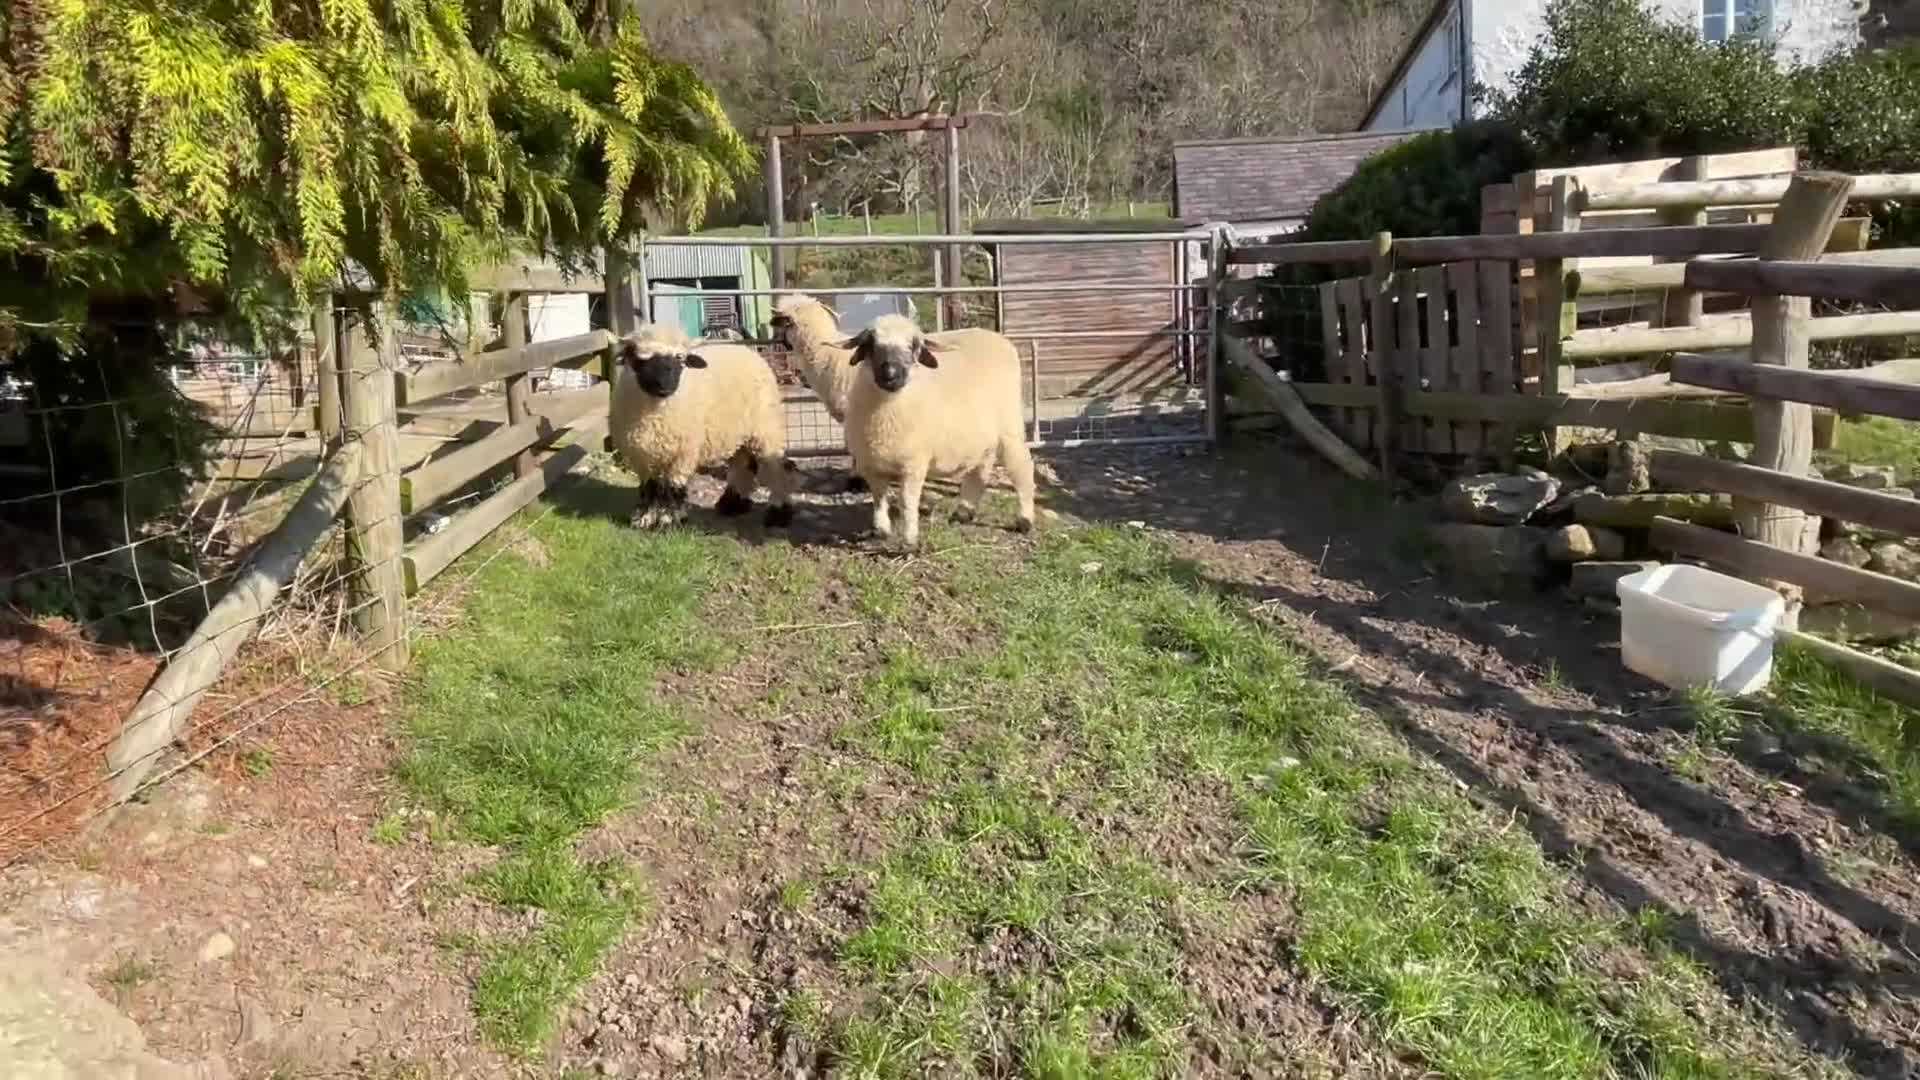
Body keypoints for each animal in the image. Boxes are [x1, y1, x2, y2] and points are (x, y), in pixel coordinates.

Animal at [609, 322, 794, 530]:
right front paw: (644, 519)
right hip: (736, 432)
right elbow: (650, 488)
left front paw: (668, 521)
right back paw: (733, 503)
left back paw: (778, 512)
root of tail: (743, 349)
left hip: (766, 427)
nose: (665, 387)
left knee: (775, 467)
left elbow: (673, 488)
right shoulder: (641, 456)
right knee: (742, 464)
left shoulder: (683, 453)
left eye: (680, 358)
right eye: (641, 360)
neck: (657, 417)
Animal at [839, 313, 1036, 548]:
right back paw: (964, 512)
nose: (890, 375)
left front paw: (910, 540)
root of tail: (995, 336)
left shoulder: (914, 463)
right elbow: (878, 498)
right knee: (980, 469)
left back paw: (1025, 520)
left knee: (1022, 468)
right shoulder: (870, 463)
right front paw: (881, 530)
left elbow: (907, 502)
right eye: (871, 344)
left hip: (1010, 425)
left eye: (913, 345)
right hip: (984, 435)